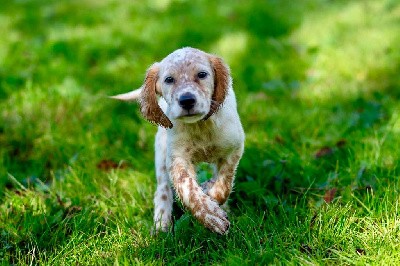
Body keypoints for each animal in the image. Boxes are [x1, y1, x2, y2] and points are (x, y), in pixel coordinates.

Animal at [111, 47, 244, 235]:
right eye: (169, 79)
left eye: (202, 74)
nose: (186, 100)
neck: (200, 126)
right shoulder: (177, 158)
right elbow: (187, 188)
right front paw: (211, 216)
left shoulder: (234, 149)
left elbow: (225, 181)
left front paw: (212, 194)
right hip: (161, 153)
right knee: (163, 189)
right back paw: (161, 224)